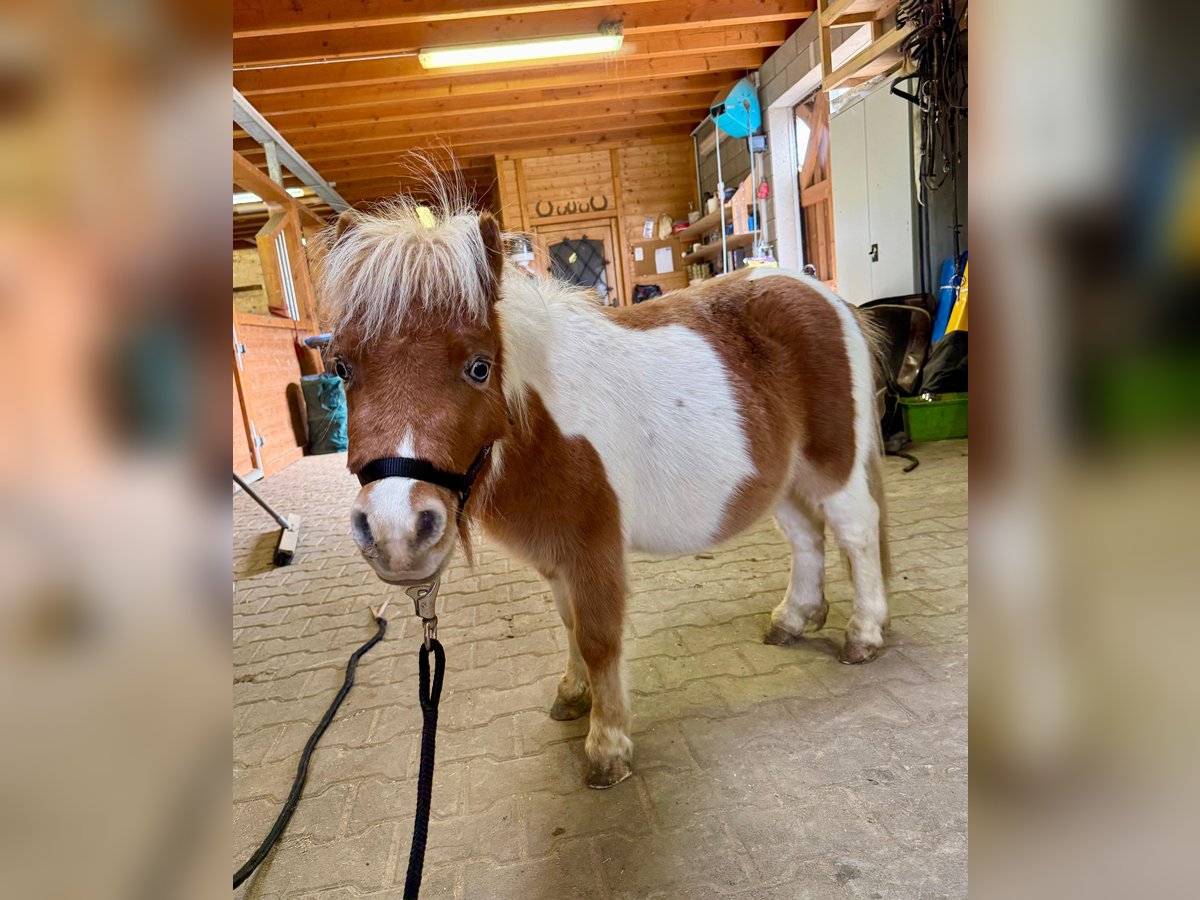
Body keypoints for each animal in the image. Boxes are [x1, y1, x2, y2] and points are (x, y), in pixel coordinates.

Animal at [318, 197, 890, 789]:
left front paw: (607, 746)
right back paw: (794, 619)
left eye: (479, 367)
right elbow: (570, 625)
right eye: (341, 366)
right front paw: (574, 695)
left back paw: (863, 634)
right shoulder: (557, 558)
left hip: (835, 466)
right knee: (806, 539)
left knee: (856, 532)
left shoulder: (593, 550)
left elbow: (597, 637)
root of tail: (825, 295)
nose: (396, 532)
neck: (543, 420)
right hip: (788, 480)